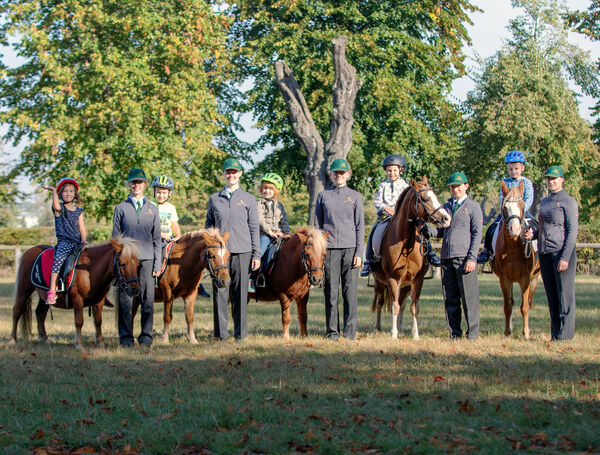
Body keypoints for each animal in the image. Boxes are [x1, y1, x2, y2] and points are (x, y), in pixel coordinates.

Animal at [9, 239, 141, 350]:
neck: (90, 271)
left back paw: (45, 339)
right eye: (122, 264)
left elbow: (98, 321)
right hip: (24, 289)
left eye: (138, 264)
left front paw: (100, 343)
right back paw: (12, 339)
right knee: (17, 311)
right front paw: (79, 344)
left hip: (44, 296)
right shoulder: (78, 299)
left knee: (40, 313)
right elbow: (79, 321)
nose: (135, 289)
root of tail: (29, 251)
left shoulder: (99, 300)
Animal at [370, 177, 450, 338]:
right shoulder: (393, 278)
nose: (446, 218)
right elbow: (394, 305)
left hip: (406, 285)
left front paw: (415, 334)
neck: (405, 243)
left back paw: (400, 329)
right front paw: (393, 334)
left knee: (402, 303)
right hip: (380, 282)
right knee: (381, 302)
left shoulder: (417, 280)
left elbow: (414, 307)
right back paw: (378, 328)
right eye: (425, 199)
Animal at [492, 182, 540, 338]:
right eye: (505, 207)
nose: (515, 229)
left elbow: (524, 307)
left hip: (534, 280)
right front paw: (507, 331)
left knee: (529, 302)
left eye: (522, 205)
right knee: (511, 303)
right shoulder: (504, 278)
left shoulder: (525, 278)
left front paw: (526, 333)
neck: (513, 247)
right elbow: (507, 306)